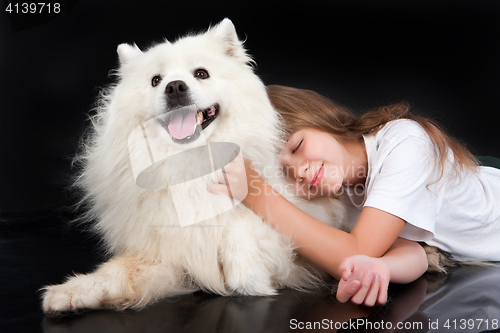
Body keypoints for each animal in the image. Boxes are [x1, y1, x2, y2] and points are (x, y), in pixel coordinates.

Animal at [42, 18, 344, 314]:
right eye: (156, 80)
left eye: (201, 73)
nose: (175, 86)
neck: (192, 163)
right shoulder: (170, 255)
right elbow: (116, 273)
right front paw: (67, 293)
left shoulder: (298, 234)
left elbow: (242, 227)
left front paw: (248, 278)